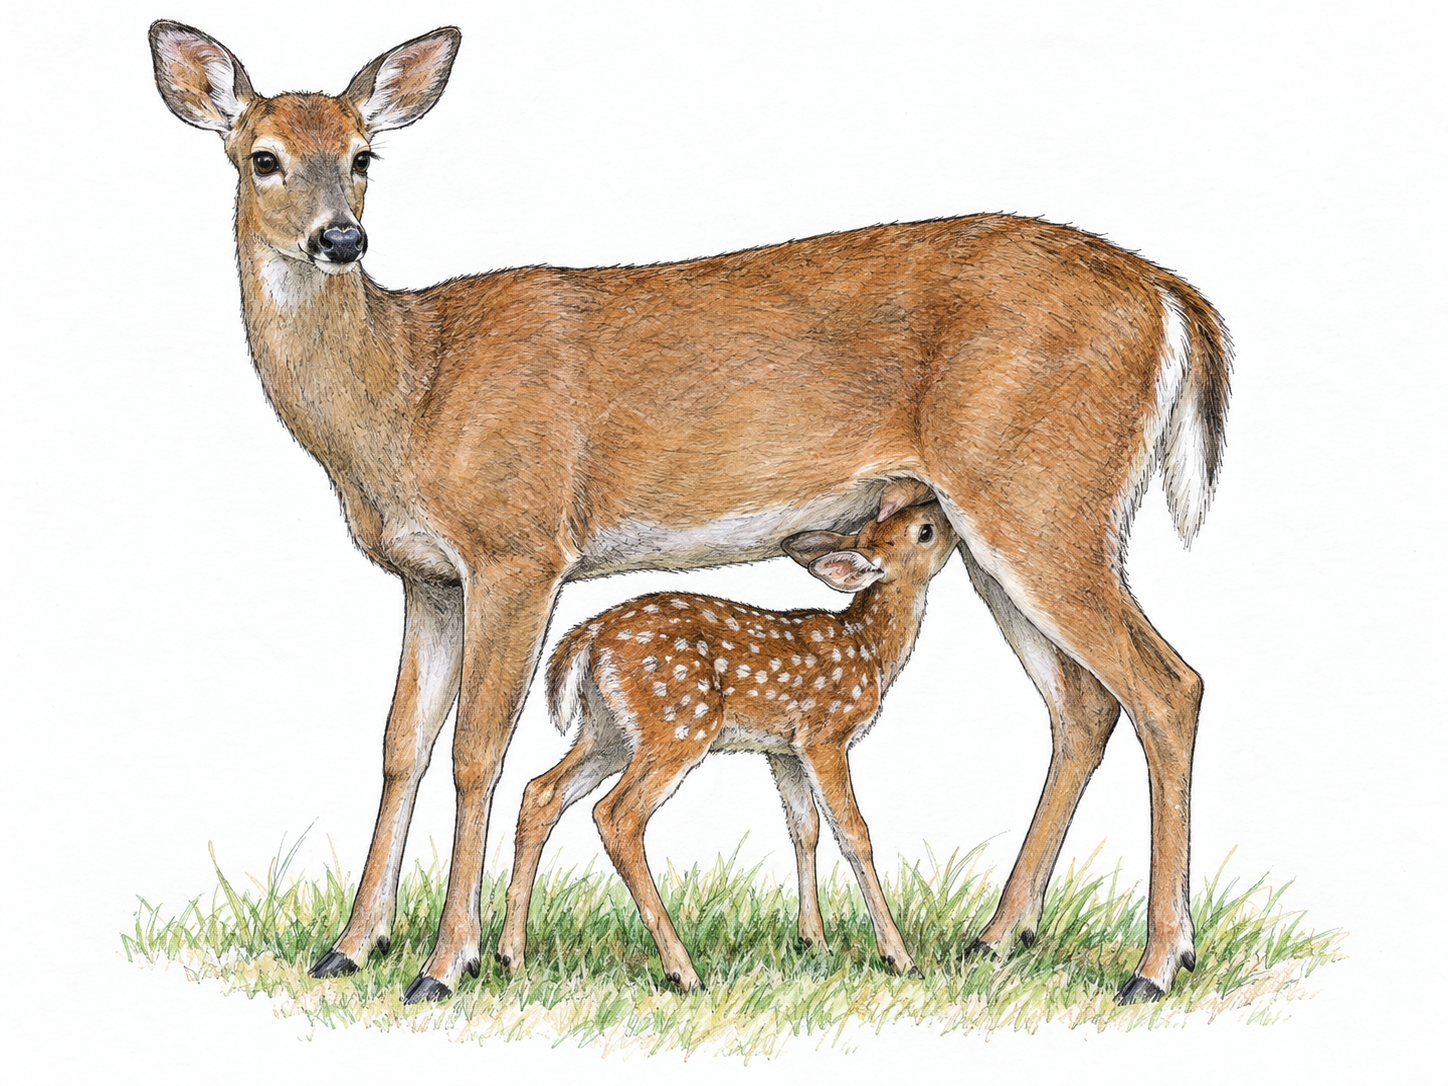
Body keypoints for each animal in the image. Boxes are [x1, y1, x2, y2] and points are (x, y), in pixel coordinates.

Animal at [496, 501, 959, 990]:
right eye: (925, 531)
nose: (942, 509)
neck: (869, 651)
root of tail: (585, 639)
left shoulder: (783, 749)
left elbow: (805, 828)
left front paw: (813, 940)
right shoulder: (825, 734)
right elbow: (854, 833)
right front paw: (899, 957)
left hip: (607, 731)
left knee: (542, 792)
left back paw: (511, 956)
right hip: (678, 725)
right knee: (616, 814)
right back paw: (683, 971)